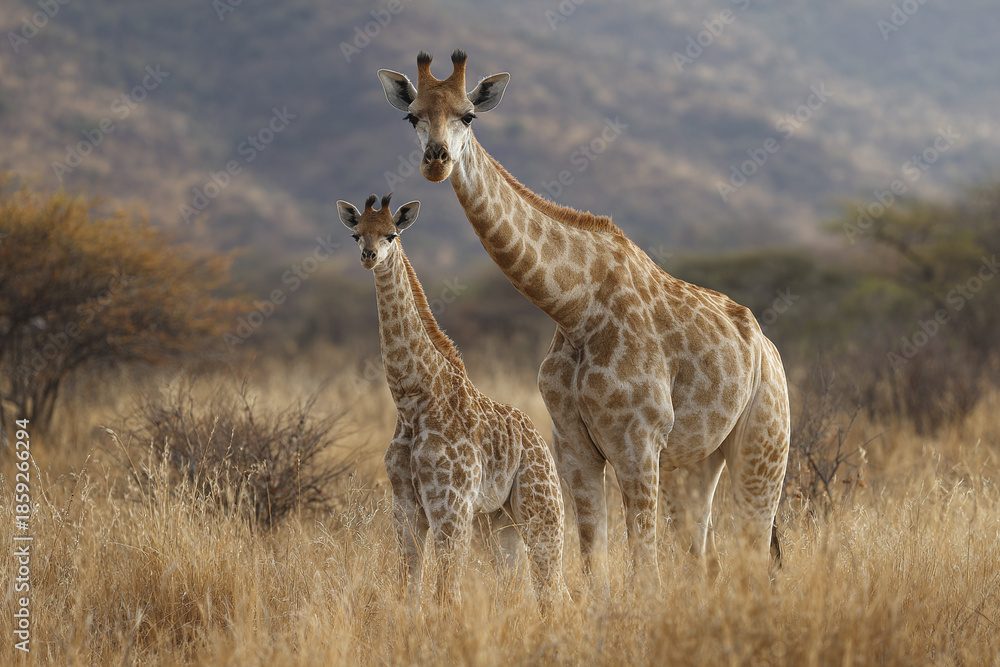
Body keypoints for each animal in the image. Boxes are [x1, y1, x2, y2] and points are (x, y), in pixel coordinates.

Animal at [337, 192, 568, 606]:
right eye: (356, 233)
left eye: (392, 234)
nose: (368, 256)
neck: (413, 399)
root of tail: (541, 441)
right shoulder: (405, 505)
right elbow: (410, 590)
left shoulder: (450, 505)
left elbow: (446, 594)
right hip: (497, 522)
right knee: (516, 586)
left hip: (541, 509)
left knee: (553, 588)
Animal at [376, 50, 790, 590]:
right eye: (412, 116)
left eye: (467, 115)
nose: (436, 160)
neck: (575, 308)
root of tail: (767, 346)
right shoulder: (574, 446)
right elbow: (595, 565)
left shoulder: (638, 444)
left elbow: (644, 569)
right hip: (698, 460)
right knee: (705, 555)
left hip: (764, 443)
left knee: (754, 551)